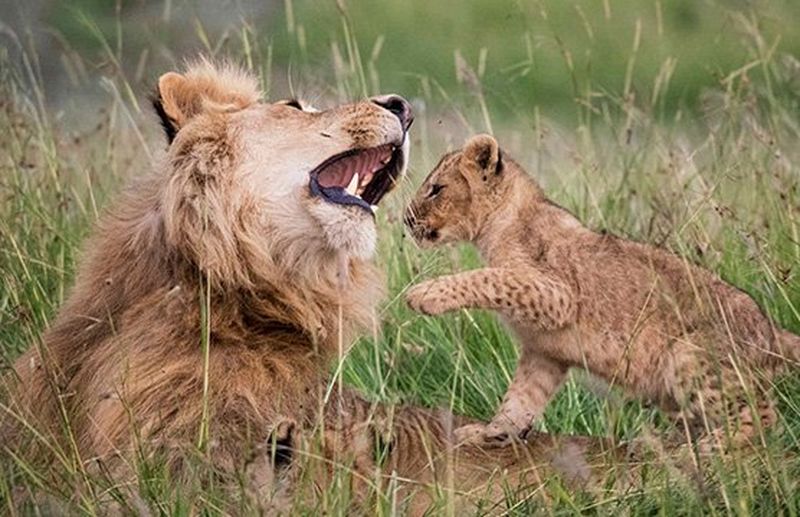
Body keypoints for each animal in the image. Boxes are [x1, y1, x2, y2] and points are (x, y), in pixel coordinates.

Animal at [404, 134, 800, 450]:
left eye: (436, 189)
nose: (406, 220)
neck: (498, 226)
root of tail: (771, 329)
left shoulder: (556, 293)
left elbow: (488, 278)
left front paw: (424, 294)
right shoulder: (544, 352)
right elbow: (520, 399)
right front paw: (492, 432)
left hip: (690, 356)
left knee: (765, 417)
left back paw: (706, 447)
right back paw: (660, 443)